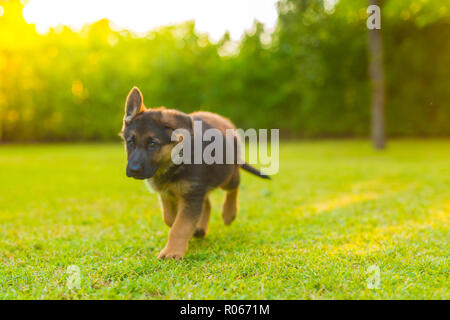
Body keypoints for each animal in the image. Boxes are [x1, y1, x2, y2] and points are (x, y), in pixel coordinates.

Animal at [119, 87, 268, 260]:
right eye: (131, 142)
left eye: (152, 144)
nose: (133, 170)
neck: (173, 161)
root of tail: (224, 120)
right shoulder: (169, 194)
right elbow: (170, 218)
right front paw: (190, 231)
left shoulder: (191, 195)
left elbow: (179, 226)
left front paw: (172, 252)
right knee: (207, 203)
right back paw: (201, 228)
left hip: (226, 176)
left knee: (234, 185)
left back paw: (229, 213)